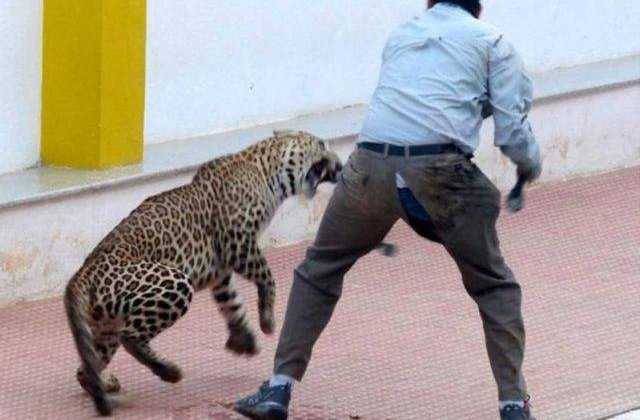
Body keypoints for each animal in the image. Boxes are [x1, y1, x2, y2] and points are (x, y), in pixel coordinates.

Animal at [64, 130, 344, 416]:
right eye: (321, 144)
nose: (340, 165)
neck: (267, 170)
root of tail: (81, 275)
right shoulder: (238, 243)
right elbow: (267, 276)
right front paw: (267, 320)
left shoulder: (221, 270)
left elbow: (231, 302)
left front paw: (244, 339)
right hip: (174, 284)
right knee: (130, 337)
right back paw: (169, 371)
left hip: (107, 324)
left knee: (87, 366)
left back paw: (104, 383)